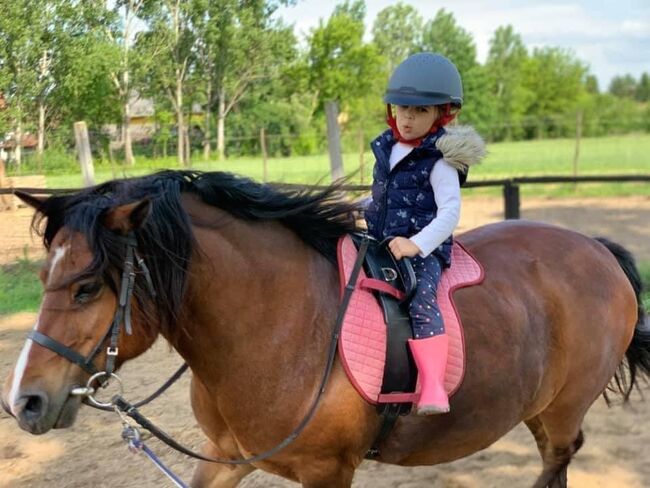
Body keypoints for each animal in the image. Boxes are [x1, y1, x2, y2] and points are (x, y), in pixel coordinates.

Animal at [3, 170, 648, 486]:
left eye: (87, 287)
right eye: (42, 276)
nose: (24, 403)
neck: (277, 327)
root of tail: (597, 249)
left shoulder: (327, 472)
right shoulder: (224, 456)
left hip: (562, 412)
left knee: (557, 461)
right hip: (540, 409)